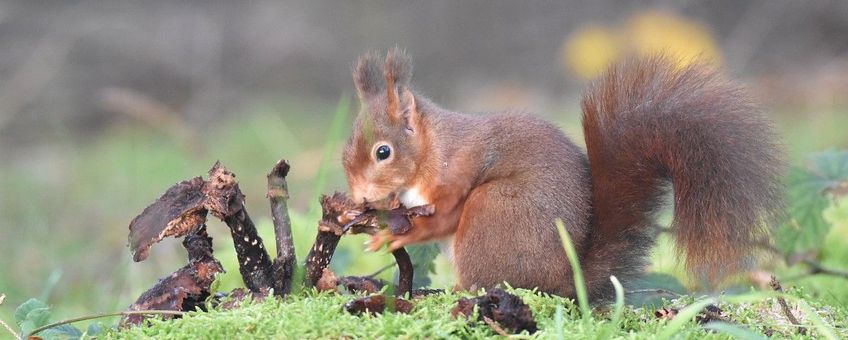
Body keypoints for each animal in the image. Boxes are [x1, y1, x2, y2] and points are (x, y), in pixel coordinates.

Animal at [338, 48, 780, 300]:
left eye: (383, 152)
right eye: (344, 152)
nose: (359, 197)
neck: (433, 150)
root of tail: (566, 282)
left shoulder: (457, 175)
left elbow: (442, 219)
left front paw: (393, 236)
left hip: (493, 210)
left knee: (487, 282)